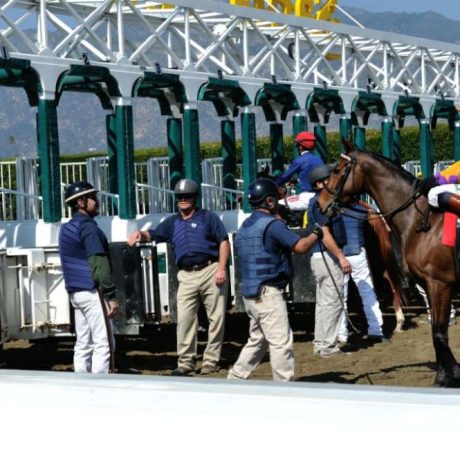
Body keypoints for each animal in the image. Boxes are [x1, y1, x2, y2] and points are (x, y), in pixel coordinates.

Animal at [318, 140, 460, 388]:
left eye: (337, 169)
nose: (320, 202)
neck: (420, 220)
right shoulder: (431, 286)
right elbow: (436, 331)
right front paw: (446, 375)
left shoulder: (439, 284)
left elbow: (439, 334)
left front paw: (447, 377)